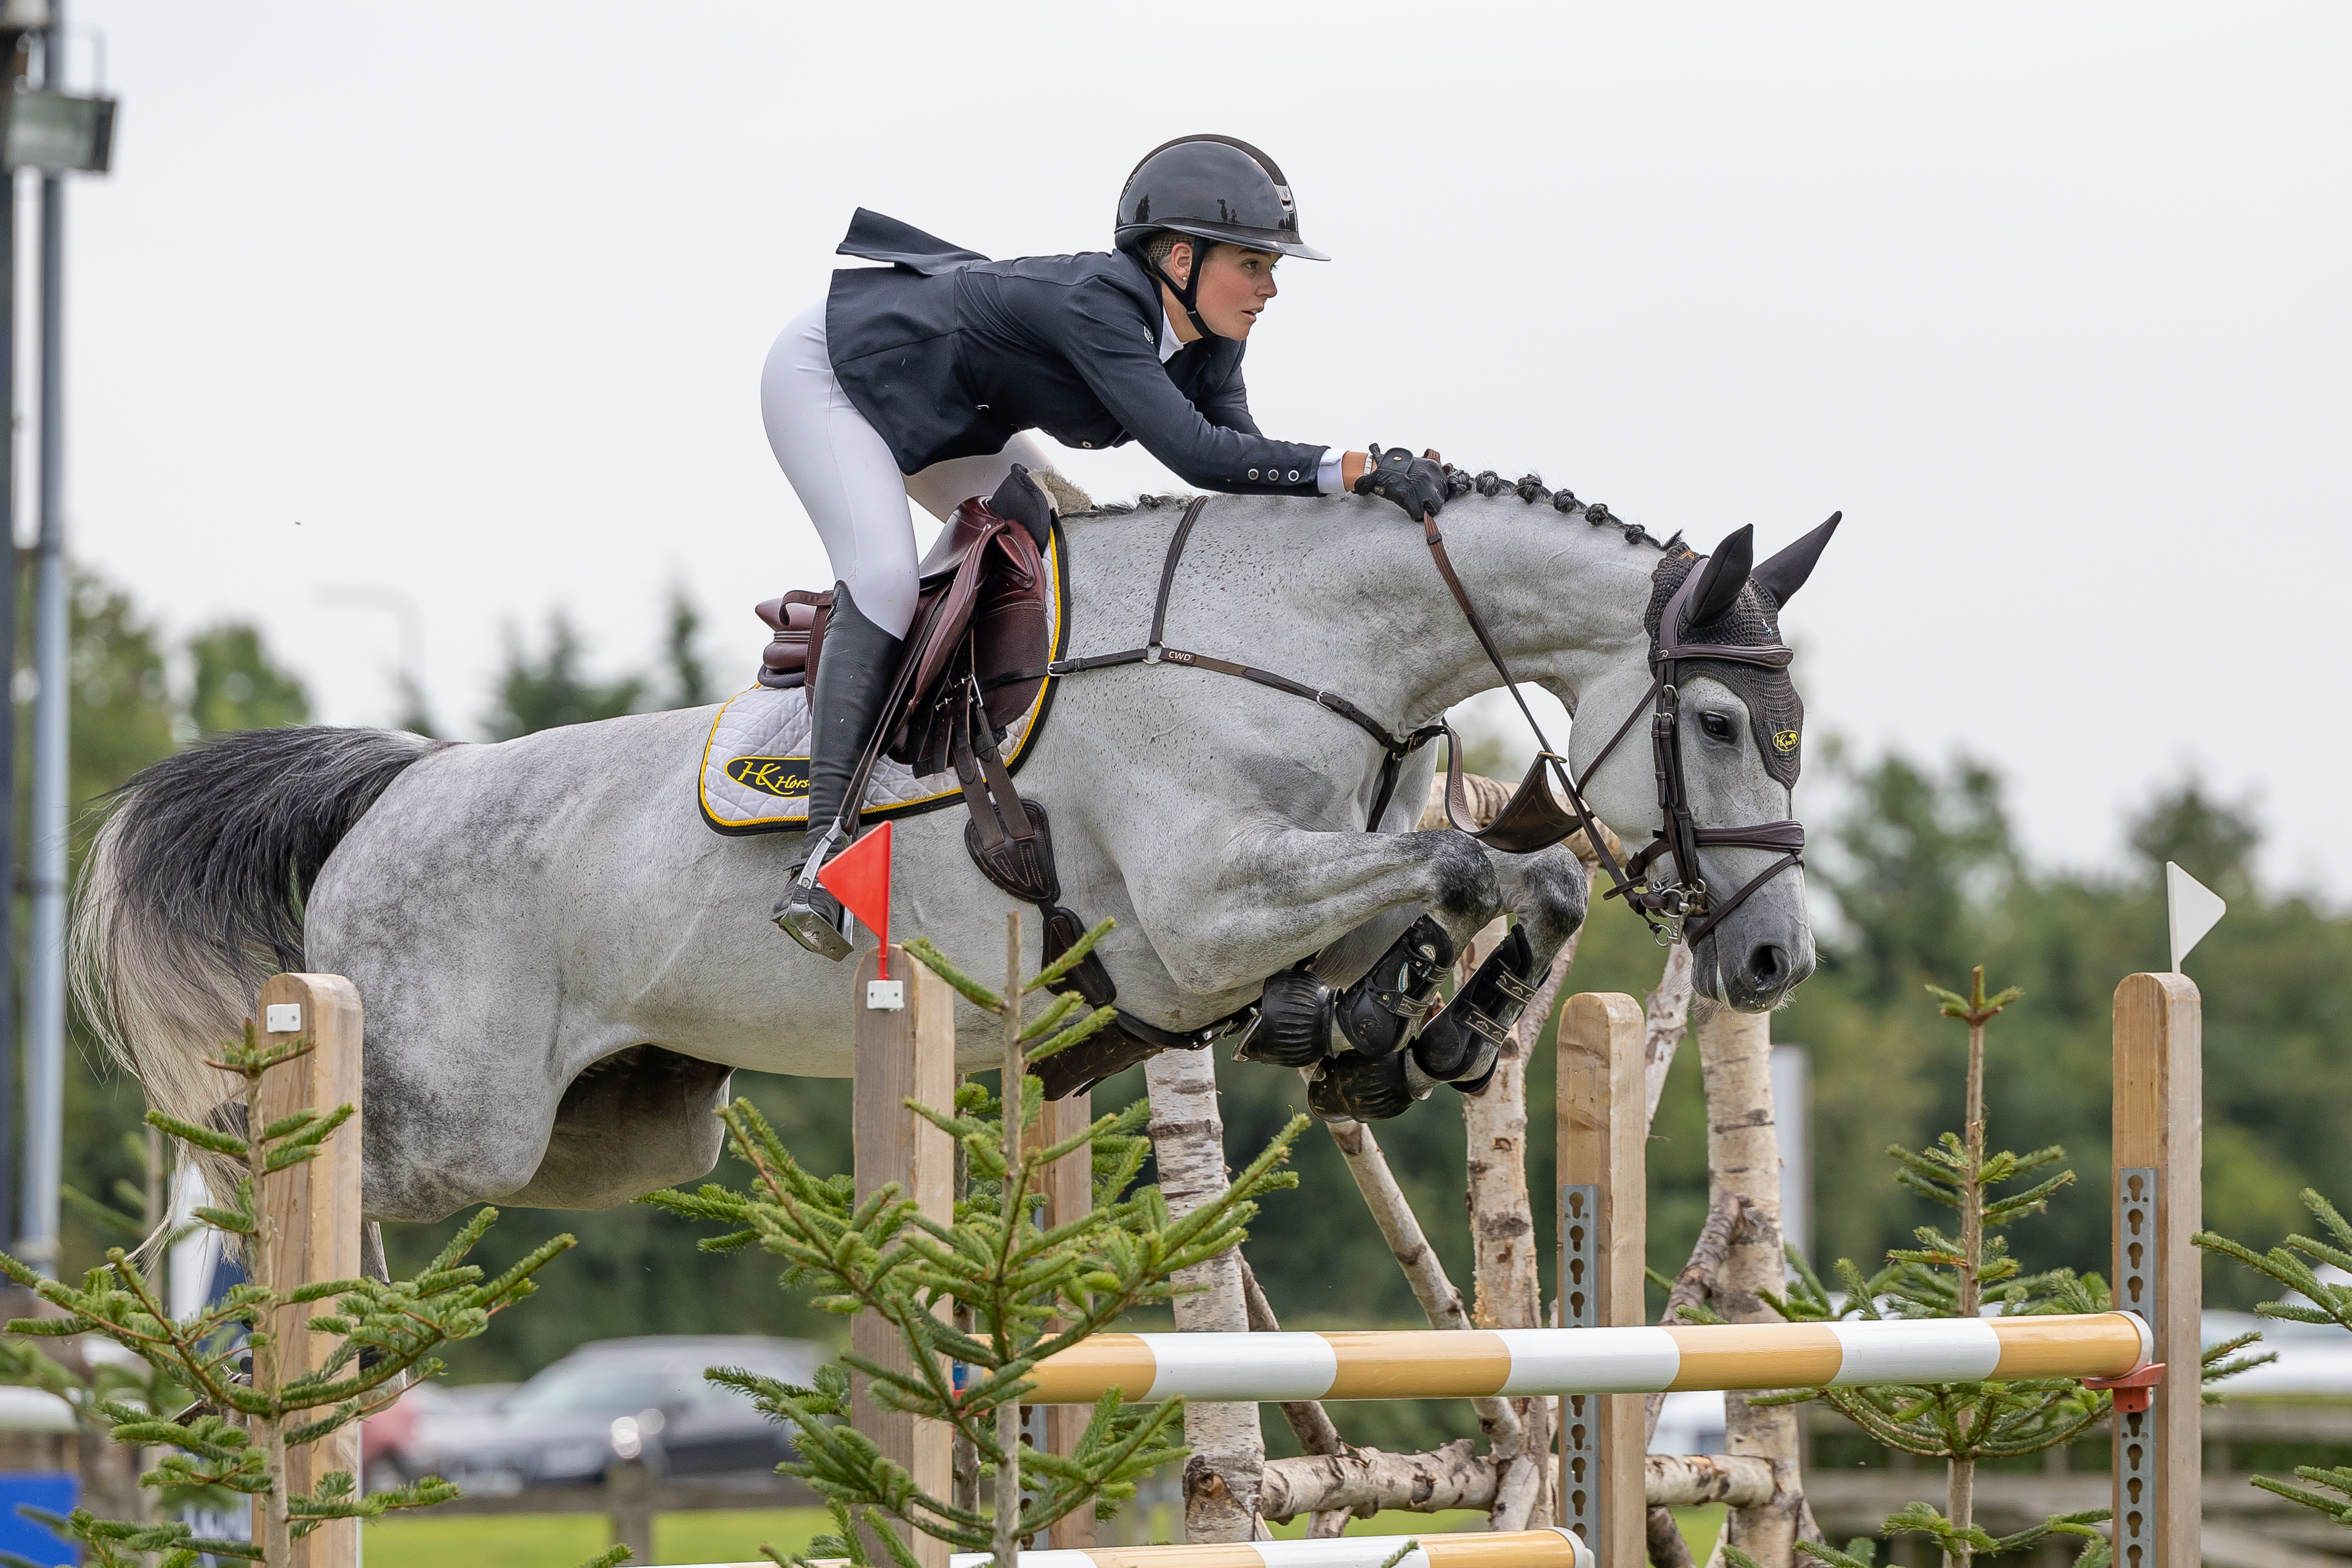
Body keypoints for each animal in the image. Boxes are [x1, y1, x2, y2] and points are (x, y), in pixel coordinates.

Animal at [74, 482, 1829, 1223]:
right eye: (1722, 723)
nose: (1770, 961)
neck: (1288, 642)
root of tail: (399, 787)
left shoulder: (1268, 904)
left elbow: (1498, 883)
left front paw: (1404, 1031)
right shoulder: (1198, 913)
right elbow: (1468, 870)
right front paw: (1408, 1025)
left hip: (624, 1129)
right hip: (452, 1121)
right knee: (249, 1161)